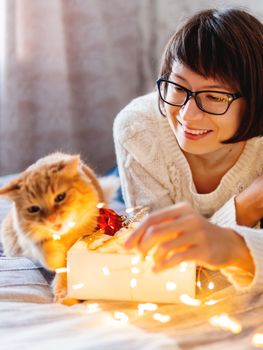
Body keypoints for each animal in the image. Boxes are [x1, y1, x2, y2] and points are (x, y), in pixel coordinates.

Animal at [0, 153, 118, 304]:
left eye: (60, 197)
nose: (52, 218)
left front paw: (65, 295)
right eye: (34, 209)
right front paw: (56, 260)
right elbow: (50, 256)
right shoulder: (31, 240)